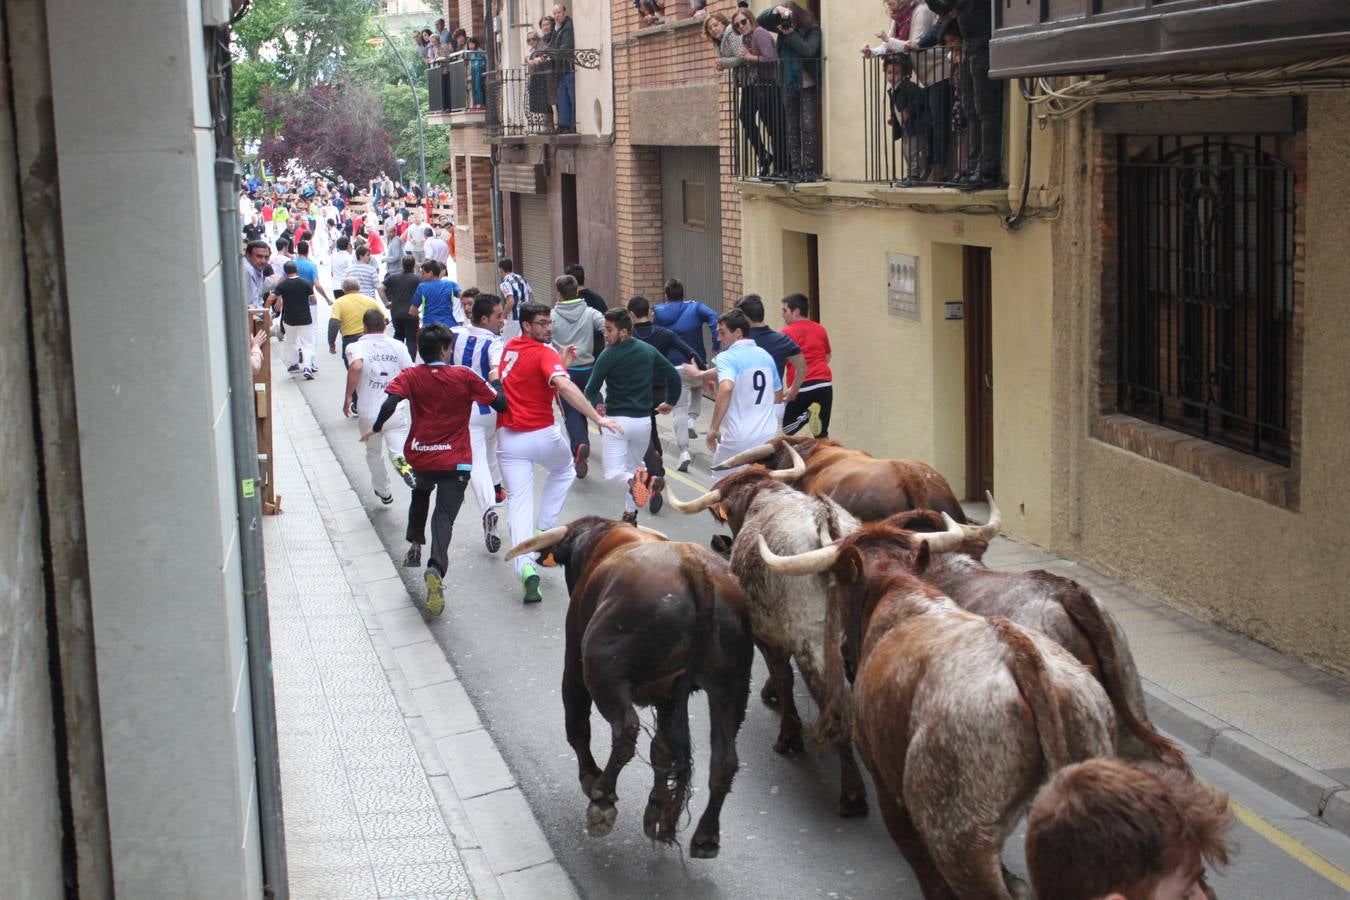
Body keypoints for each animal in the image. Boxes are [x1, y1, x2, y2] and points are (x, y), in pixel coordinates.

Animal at [507, 512, 761, 858]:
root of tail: (695, 566)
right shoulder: (669, 696)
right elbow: (662, 751)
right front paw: (657, 806)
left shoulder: (573, 661)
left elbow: (577, 726)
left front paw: (591, 777)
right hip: (730, 689)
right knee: (723, 761)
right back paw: (706, 836)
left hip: (602, 671)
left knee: (625, 729)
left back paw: (602, 797)